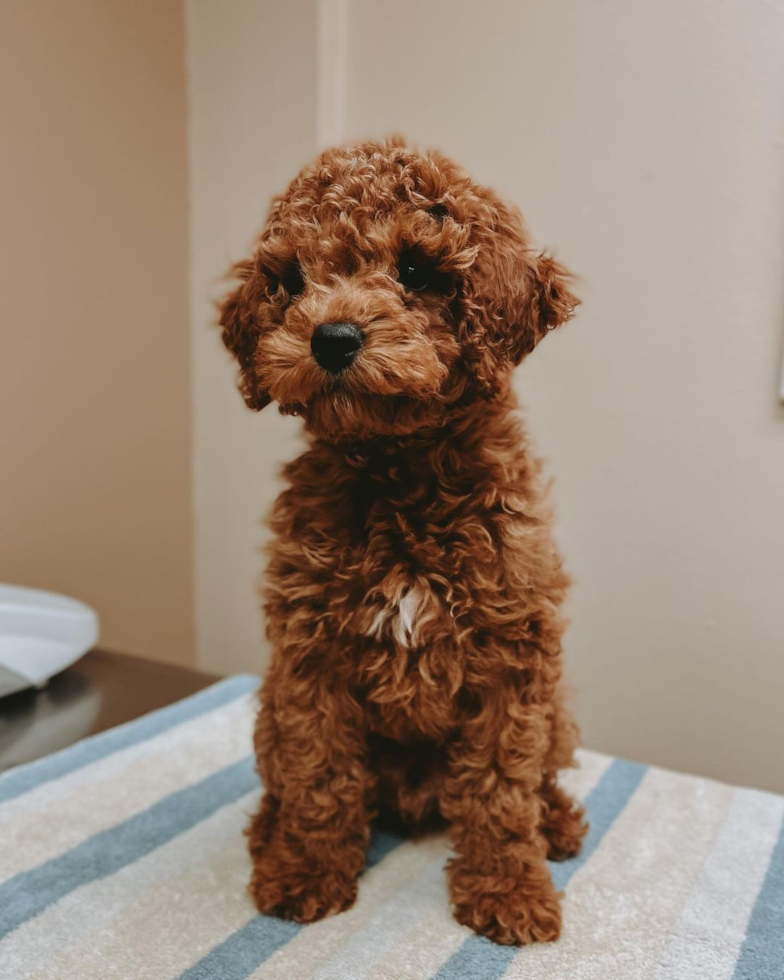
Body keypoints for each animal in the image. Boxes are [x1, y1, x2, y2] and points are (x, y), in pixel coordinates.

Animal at [217, 134, 584, 944]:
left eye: (415, 270)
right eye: (291, 281)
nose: (331, 338)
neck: (399, 471)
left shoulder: (515, 657)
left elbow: (502, 788)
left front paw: (509, 890)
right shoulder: (309, 658)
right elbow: (320, 776)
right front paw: (306, 873)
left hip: (558, 710)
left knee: (541, 775)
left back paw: (557, 825)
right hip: (267, 711)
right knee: (284, 781)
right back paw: (268, 833)